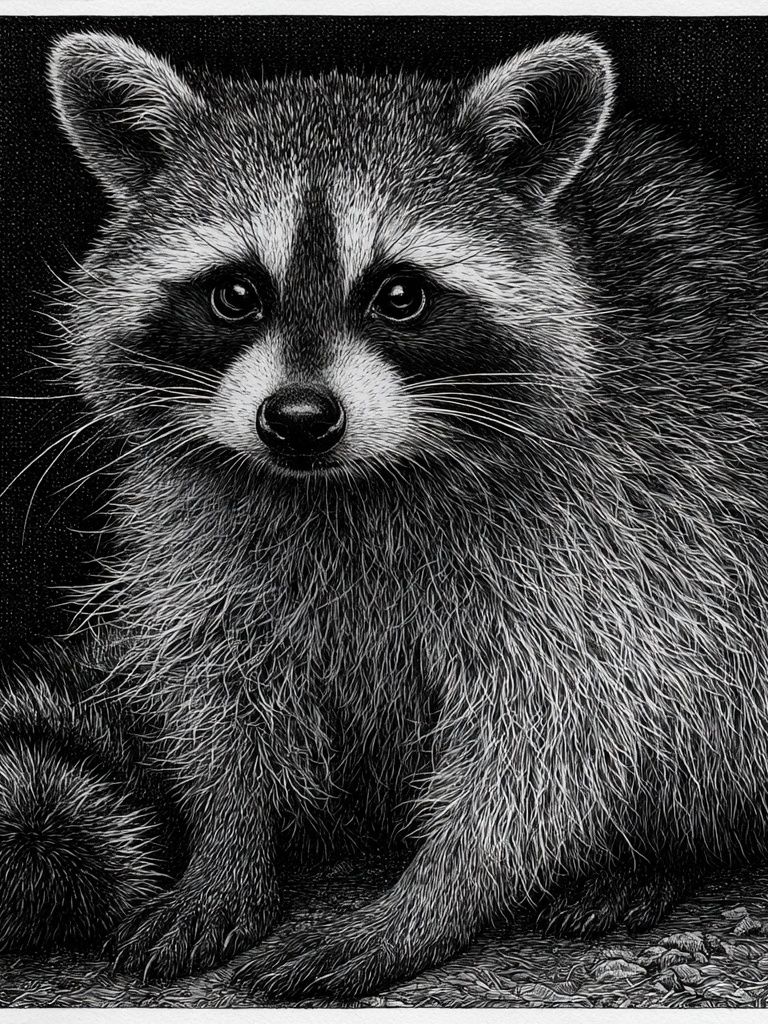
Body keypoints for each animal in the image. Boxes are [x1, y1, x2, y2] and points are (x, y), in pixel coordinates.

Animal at [5, 27, 768, 996]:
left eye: (399, 294)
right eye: (236, 293)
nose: (298, 418)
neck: (343, 485)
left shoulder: (606, 531)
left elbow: (556, 737)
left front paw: (426, 900)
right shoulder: (199, 537)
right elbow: (217, 689)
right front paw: (226, 848)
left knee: (712, 697)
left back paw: (661, 853)